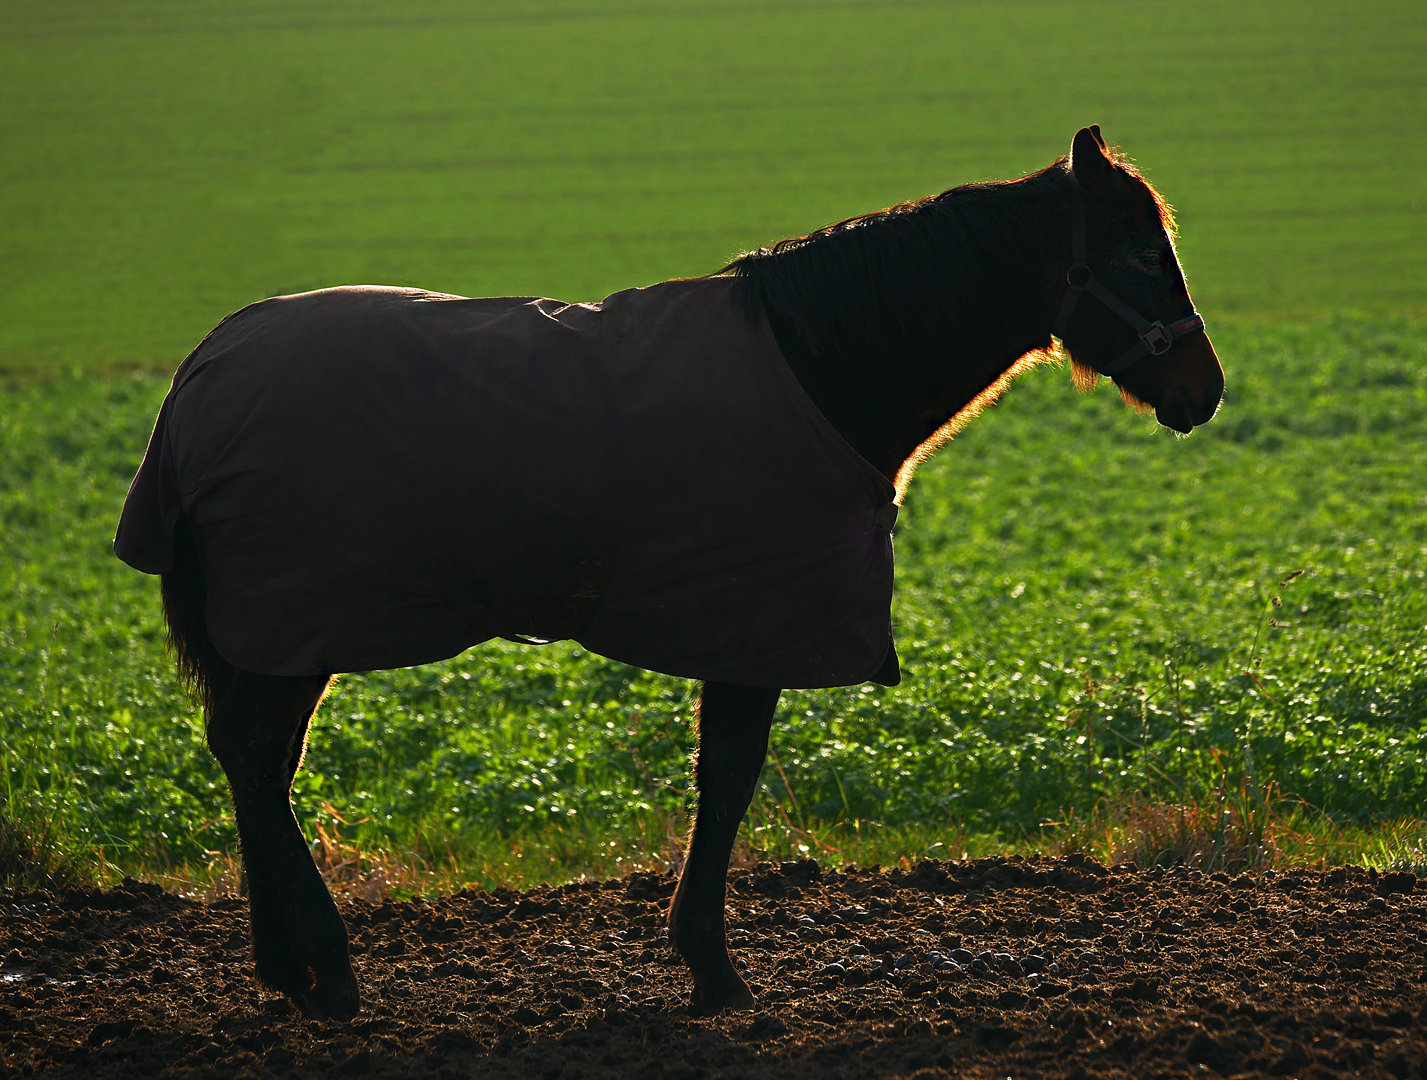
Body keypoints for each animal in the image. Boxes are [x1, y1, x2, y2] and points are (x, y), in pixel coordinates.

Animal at [114, 126, 1227, 1021]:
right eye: (1140, 253)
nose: (1203, 388)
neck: (819, 371)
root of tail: (197, 381)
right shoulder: (752, 629)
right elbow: (726, 781)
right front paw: (712, 968)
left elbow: (718, 780)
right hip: (295, 623)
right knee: (254, 760)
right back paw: (331, 971)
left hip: (279, 633)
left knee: (253, 762)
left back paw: (287, 970)